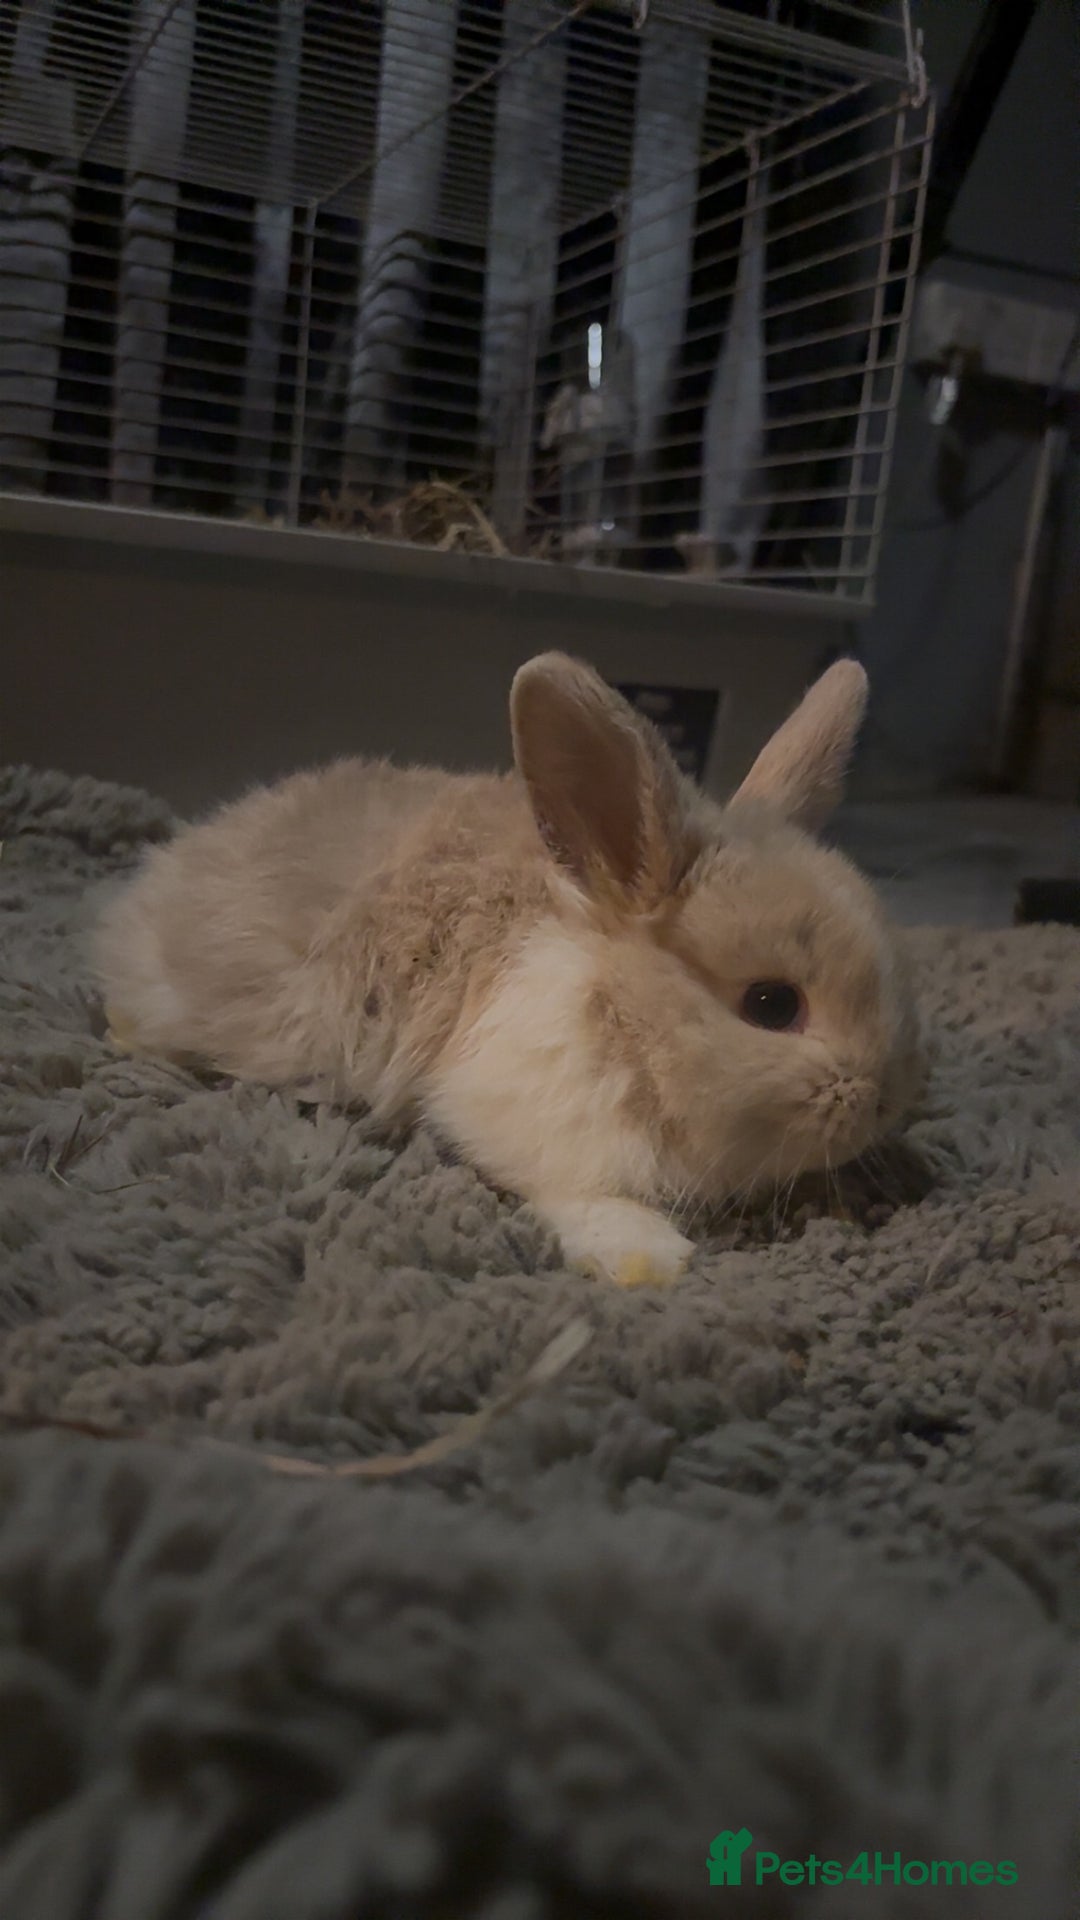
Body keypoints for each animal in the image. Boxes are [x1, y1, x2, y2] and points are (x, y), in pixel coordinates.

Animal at [95, 652, 923, 1286]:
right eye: (771, 1004)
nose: (884, 1101)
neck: (622, 1015)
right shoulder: (522, 1114)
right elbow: (572, 1188)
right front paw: (649, 1258)